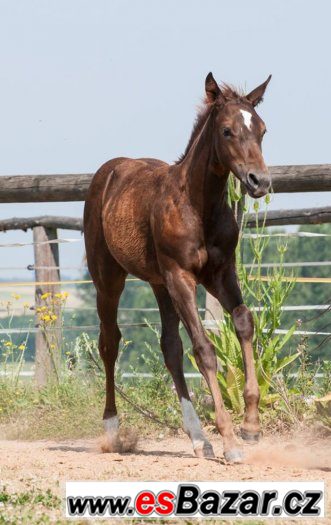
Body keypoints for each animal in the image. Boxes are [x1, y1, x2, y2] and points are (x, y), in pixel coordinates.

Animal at [85, 70, 272, 462]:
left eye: (262, 129)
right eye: (227, 131)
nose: (259, 182)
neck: (198, 206)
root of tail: (108, 171)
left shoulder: (221, 273)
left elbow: (243, 322)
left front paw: (250, 426)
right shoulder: (181, 277)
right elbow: (204, 349)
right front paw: (230, 440)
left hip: (159, 284)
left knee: (169, 347)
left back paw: (198, 438)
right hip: (109, 279)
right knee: (109, 342)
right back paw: (112, 431)